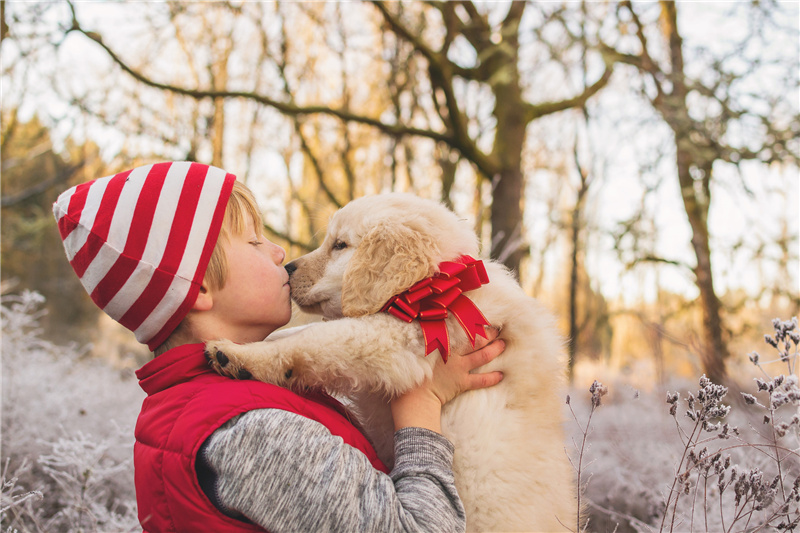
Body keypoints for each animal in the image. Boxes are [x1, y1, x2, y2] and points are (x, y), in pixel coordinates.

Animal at [206, 193, 576, 528]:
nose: (286, 268)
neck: (437, 286)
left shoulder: (405, 341)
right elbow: (304, 331)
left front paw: (240, 354)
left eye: (339, 245)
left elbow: (322, 337)